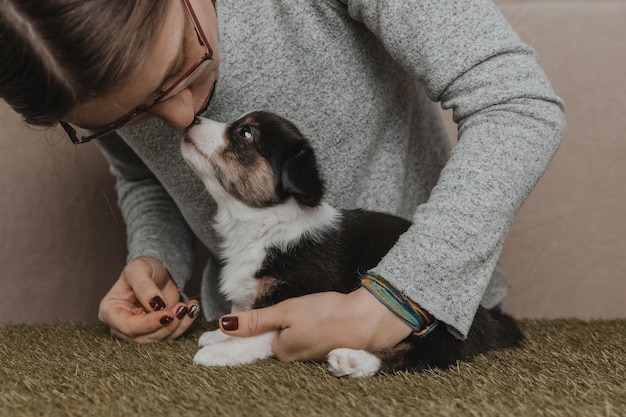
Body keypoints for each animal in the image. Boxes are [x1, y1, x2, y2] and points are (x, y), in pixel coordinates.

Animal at [180, 110, 520, 376]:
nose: (192, 118)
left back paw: (353, 361)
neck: (262, 224)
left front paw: (223, 351)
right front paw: (218, 335)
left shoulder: (297, 291)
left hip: (437, 323)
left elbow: (259, 326)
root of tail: (485, 317)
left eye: (246, 132)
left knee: (426, 354)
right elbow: (240, 314)